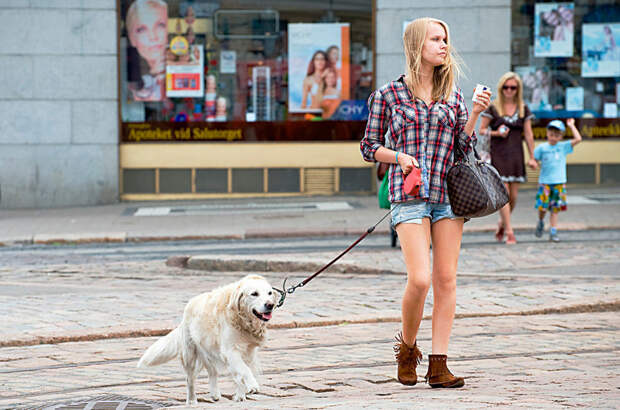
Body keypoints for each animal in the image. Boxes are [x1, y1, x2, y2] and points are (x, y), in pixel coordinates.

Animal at [140, 276, 278, 404]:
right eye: (254, 293)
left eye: (270, 293)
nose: (270, 305)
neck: (243, 320)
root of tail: (190, 303)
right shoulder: (230, 351)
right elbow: (244, 370)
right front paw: (252, 385)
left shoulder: (248, 351)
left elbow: (241, 373)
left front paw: (240, 396)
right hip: (190, 354)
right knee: (190, 379)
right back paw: (192, 401)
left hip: (208, 351)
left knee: (212, 372)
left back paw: (215, 394)